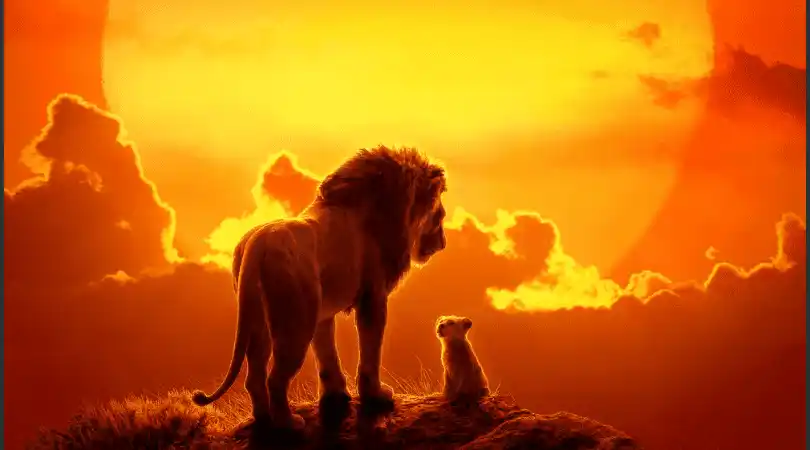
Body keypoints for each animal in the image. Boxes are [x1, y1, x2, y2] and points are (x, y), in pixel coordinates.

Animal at [191, 146, 448, 433]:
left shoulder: (322, 312)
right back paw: (289, 423)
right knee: (275, 379)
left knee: (254, 376)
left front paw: (336, 394)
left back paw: (264, 420)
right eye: (440, 216)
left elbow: (326, 353)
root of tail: (257, 244)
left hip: (260, 319)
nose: (443, 243)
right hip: (295, 323)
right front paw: (376, 395)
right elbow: (370, 350)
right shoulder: (373, 297)